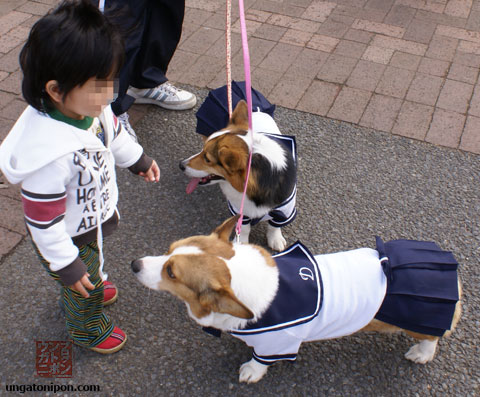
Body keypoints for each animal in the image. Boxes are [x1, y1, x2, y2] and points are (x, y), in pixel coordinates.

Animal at [131, 215, 462, 382]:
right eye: (170, 249)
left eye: (171, 272)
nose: (134, 264)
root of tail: (451, 270)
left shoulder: (276, 344)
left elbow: (259, 361)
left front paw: (250, 372)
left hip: (416, 321)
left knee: (432, 337)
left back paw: (420, 354)